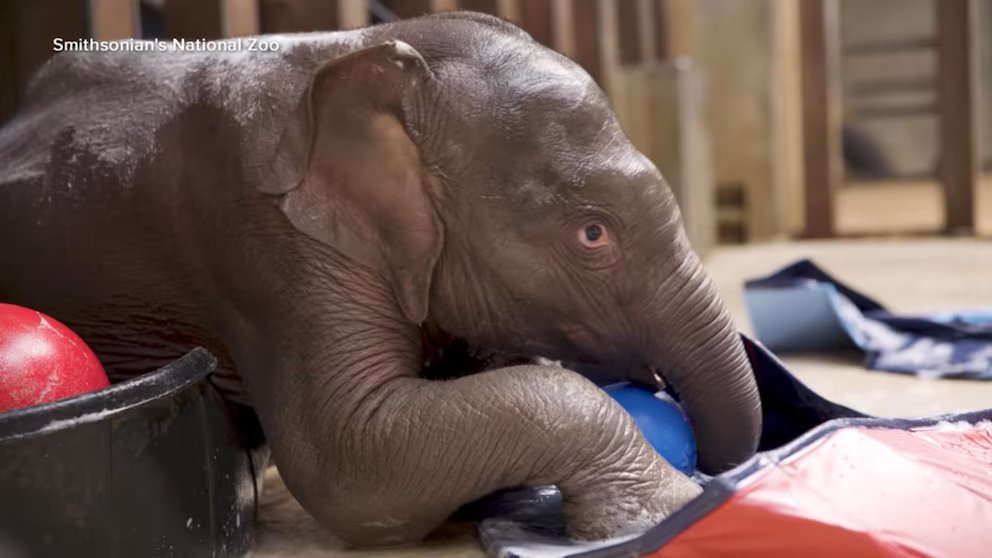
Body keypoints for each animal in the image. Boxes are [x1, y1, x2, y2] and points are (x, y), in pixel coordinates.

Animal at [0, 12, 761, 547]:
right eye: (593, 234)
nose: (712, 467)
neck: (370, 50)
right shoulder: (268, 245)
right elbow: (349, 462)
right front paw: (664, 513)